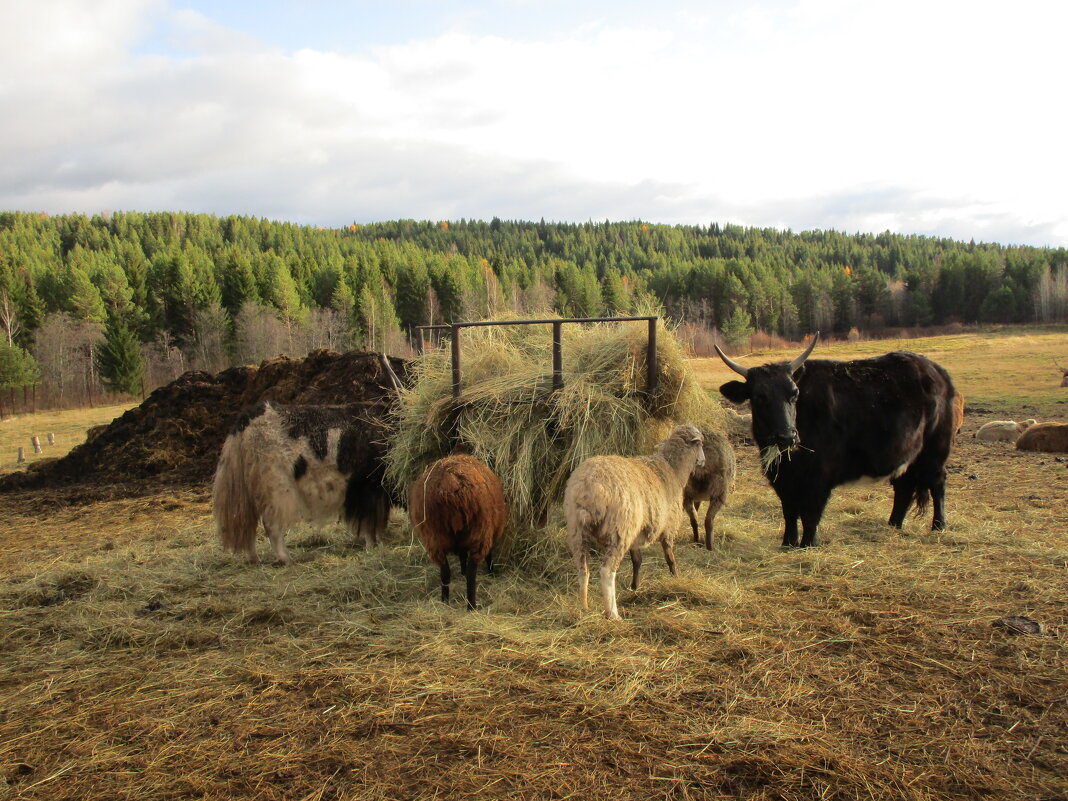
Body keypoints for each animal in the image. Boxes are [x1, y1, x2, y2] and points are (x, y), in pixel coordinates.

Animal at [407, 454, 508, 610]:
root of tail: (450, 485)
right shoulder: (491, 531)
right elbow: (489, 555)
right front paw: (492, 572)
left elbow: (462, 554)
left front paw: (462, 571)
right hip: (479, 532)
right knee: (472, 571)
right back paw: (471, 606)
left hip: (434, 537)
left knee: (445, 571)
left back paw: (445, 601)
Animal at [563, 427, 704, 619]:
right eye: (701, 444)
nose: (703, 461)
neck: (672, 469)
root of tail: (589, 487)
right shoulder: (668, 527)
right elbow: (670, 557)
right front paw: (676, 577)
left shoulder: (637, 533)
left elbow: (637, 561)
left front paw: (635, 586)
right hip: (620, 529)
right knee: (607, 571)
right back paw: (613, 614)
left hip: (577, 530)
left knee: (583, 569)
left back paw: (584, 608)